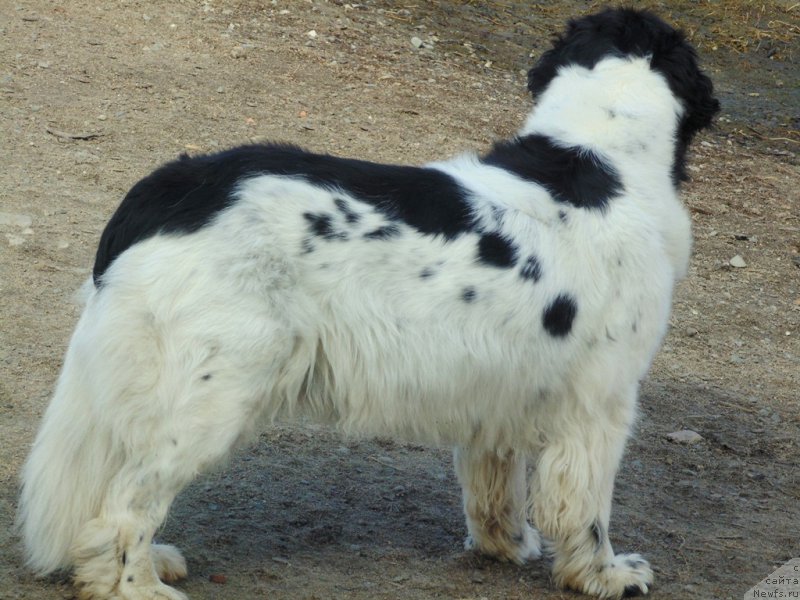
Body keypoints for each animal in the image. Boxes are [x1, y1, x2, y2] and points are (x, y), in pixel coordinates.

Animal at [17, 9, 720, 600]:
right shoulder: (600, 404)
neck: (600, 157)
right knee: (125, 504)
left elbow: (495, 485)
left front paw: (505, 546)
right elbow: (586, 508)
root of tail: (168, 190)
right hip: (206, 399)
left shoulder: (502, 389)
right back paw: (136, 587)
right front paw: (608, 576)